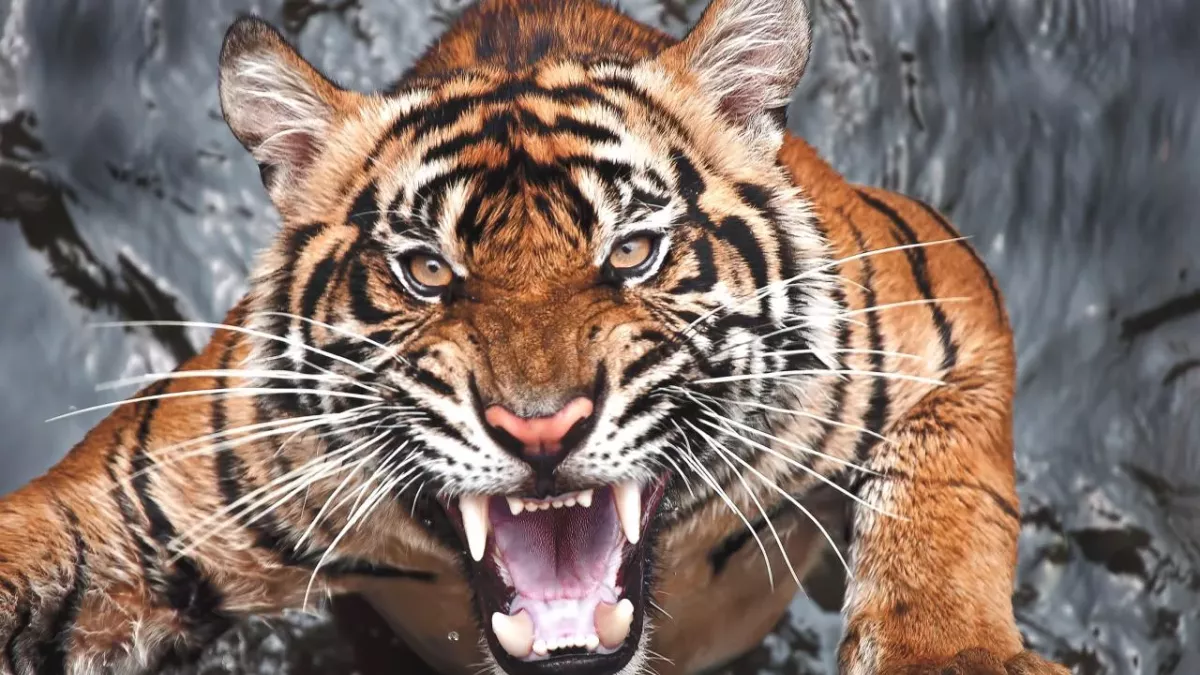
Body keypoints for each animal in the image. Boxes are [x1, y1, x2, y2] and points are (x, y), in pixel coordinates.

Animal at [0, 1, 1071, 674]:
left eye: (633, 251)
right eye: (427, 270)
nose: (541, 428)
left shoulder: (941, 301)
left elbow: (945, 494)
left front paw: (951, 655)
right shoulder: (136, 508)